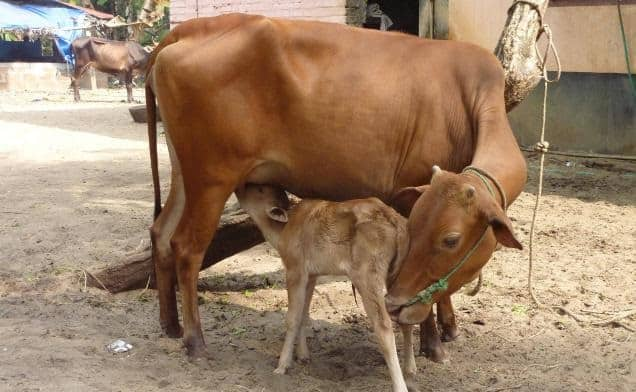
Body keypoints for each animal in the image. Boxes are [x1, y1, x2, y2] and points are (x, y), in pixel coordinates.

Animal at [145, 13, 528, 360]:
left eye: (450, 240)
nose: (395, 305)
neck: (471, 98)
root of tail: (185, 30)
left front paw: (448, 327)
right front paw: (432, 341)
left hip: (185, 173)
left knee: (161, 232)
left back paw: (170, 325)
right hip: (212, 178)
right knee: (187, 247)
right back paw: (195, 341)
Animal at [238, 185, 418, 392]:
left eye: (260, 189)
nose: (239, 188)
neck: (284, 230)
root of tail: (394, 219)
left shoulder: (295, 270)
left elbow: (292, 318)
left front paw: (282, 366)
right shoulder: (312, 275)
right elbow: (304, 314)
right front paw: (303, 356)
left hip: (367, 278)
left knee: (384, 327)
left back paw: (400, 384)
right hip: (398, 274)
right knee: (406, 319)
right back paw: (411, 371)